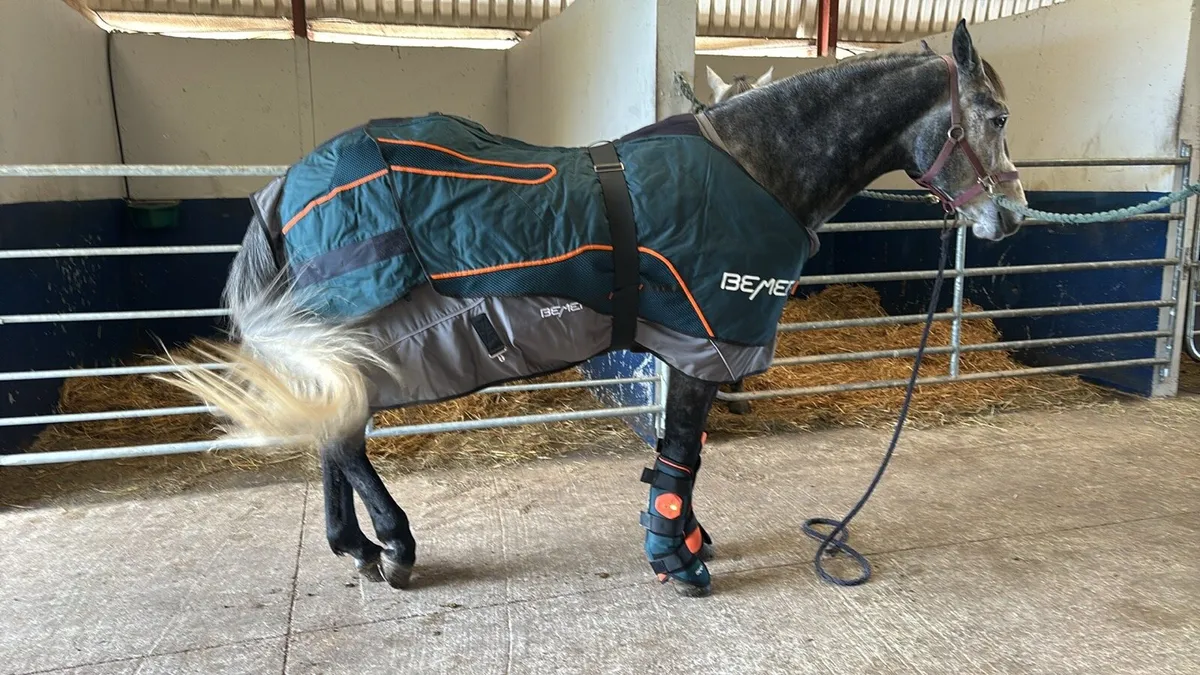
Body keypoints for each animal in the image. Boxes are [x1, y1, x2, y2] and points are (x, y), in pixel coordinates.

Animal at [162, 20, 1026, 598]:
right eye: (998, 117)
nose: (1012, 216)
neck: (756, 166)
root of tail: (286, 187)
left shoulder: (691, 347)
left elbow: (684, 453)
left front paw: (687, 536)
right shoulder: (705, 340)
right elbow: (681, 453)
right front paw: (675, 557)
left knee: (331, 435)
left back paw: (357, 547)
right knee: (342, 438)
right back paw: (395, 545)